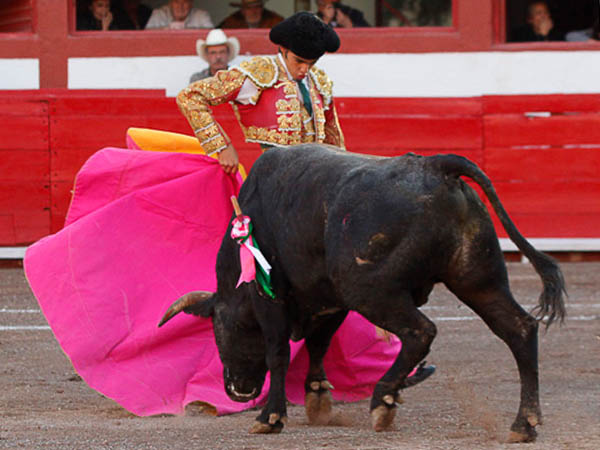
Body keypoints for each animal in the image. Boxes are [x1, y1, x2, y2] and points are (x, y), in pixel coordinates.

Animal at [159, 144, 565, 442]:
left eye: (217, 328)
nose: (236, 390)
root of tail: (437, 166)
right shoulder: (330, 299)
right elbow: (319, 343)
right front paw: (317, 394)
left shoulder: (271, 296)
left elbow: (278, 353)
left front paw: (270, 417)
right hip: (477, 280)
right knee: (519, 329)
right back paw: (524, 423)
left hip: (370, 289)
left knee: (421, 331)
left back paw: (383, 400)